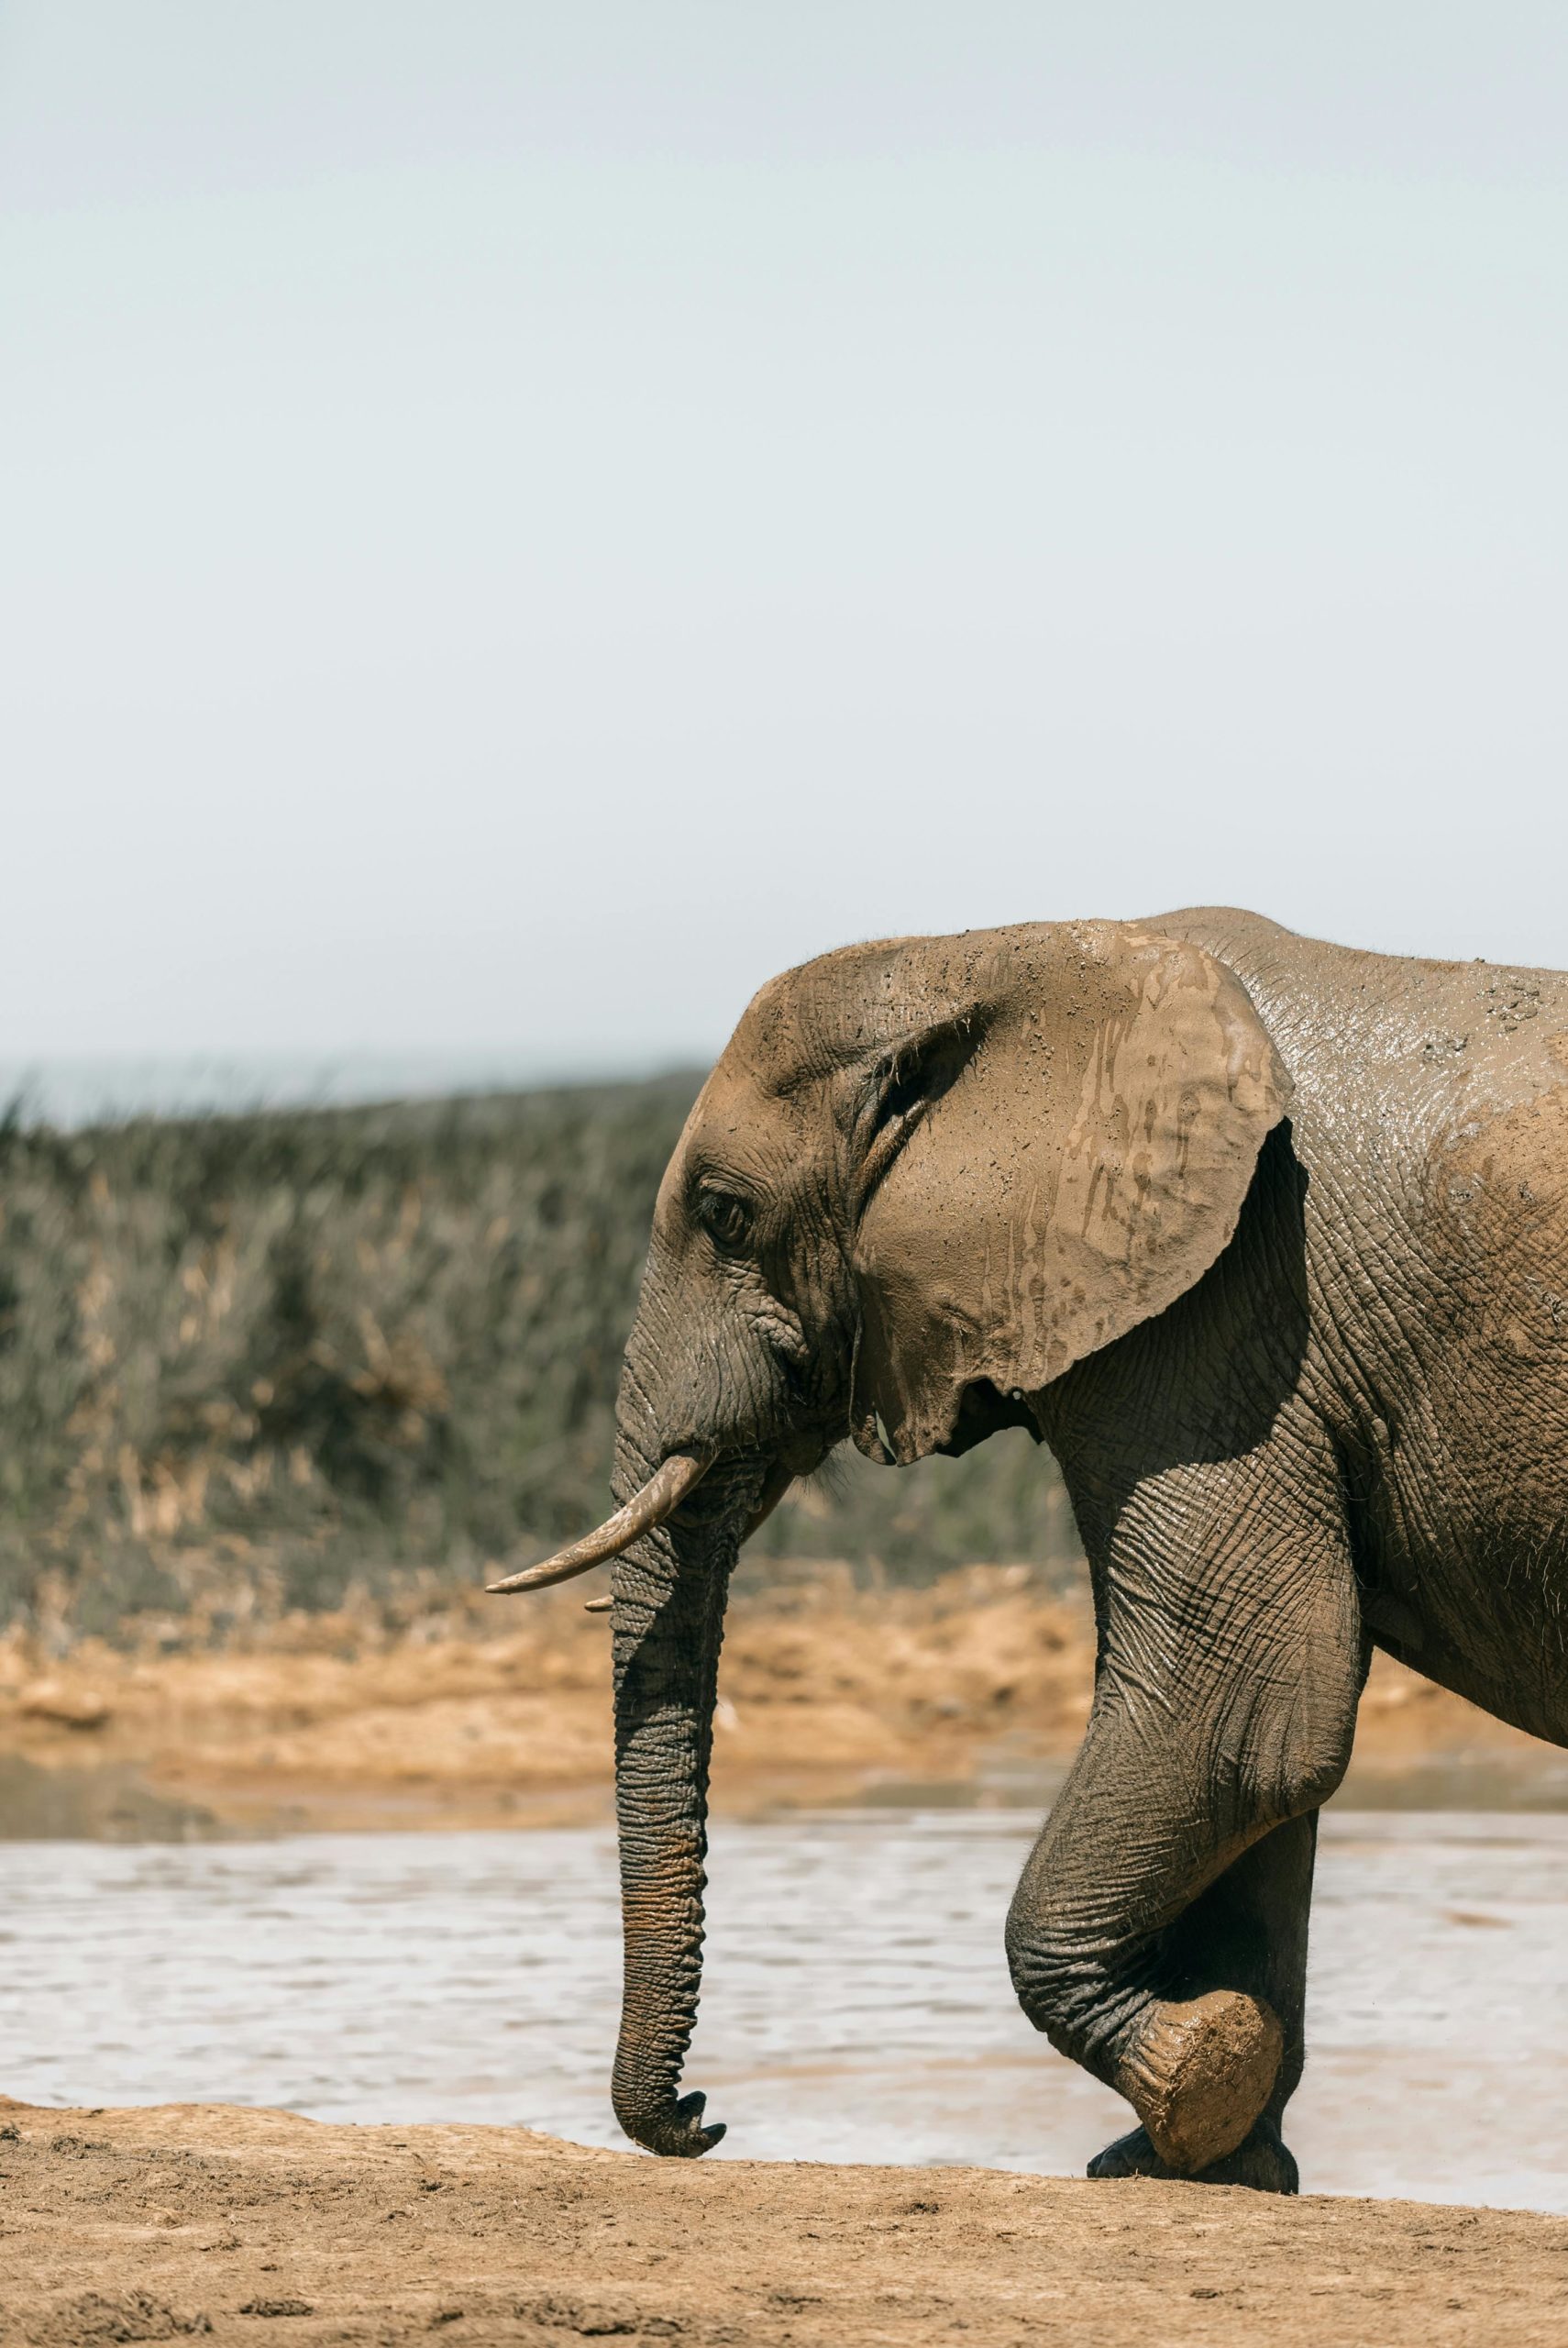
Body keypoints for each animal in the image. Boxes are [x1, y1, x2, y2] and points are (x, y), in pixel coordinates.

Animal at [491, 906, 1568, 2187]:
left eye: (724, 1214)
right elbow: (1256, 1756)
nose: (704, 2117)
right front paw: (1206, 2154)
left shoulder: (1214, 1311)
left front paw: (1193, 2073)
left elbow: (1244, 1707)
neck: (1002, 951)